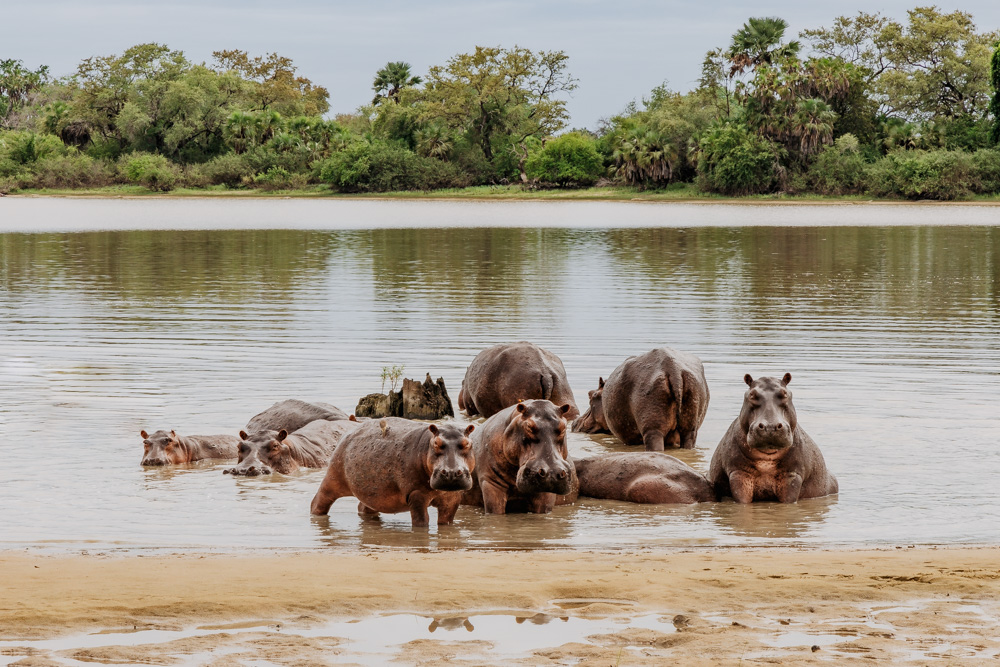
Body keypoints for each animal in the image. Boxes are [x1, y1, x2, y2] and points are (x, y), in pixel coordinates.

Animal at [308, 418, 476, 528]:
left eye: (468, 444)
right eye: (436, 443)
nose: (451, 473)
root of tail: (347, 433)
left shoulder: (453, 498)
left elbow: (446, 522)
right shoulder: (416, 494)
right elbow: (421, 522)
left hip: (372, 492)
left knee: (364, 507)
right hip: (332, 478)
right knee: (319, 500)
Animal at [708, 374, 840, 504]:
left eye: (785, 394)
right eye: (752, 395)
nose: (770, 426)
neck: (767, 458)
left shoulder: (792, 474)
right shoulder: (738, 472)